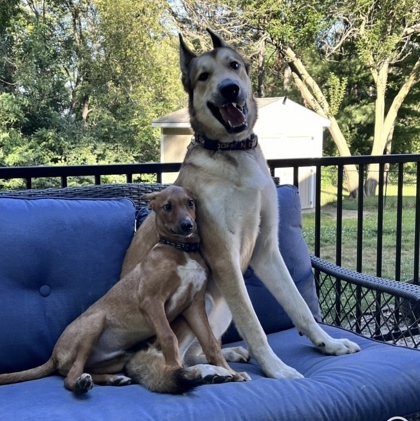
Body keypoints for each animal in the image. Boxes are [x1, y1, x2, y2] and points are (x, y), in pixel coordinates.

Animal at [0, 185, 246, 392]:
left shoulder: (194, 305)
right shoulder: (152, 301)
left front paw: (231, 372)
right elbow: (169, 338)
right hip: (95, 321)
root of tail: (53, 355)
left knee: (83, 370)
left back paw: (112, 379)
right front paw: (177, 372)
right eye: (167, 207)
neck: (181, 250)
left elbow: (211, 343)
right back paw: (81, 384)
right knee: (70, 377)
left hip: (116, 358)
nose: (188, 226)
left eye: (190, 203)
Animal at [122, 29, 360, 378]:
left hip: (220, 308)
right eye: (204, 76)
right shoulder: (225, 257)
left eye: (234, 65)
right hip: (199, 302)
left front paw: (327, 342)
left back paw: (228, 355)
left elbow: (299, 305)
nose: (229, 89)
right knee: (166, 358)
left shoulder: (266, 249)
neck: (234, 152)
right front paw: (277, 369)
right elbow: (253, 322)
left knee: (197, 350)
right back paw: (212, 372)